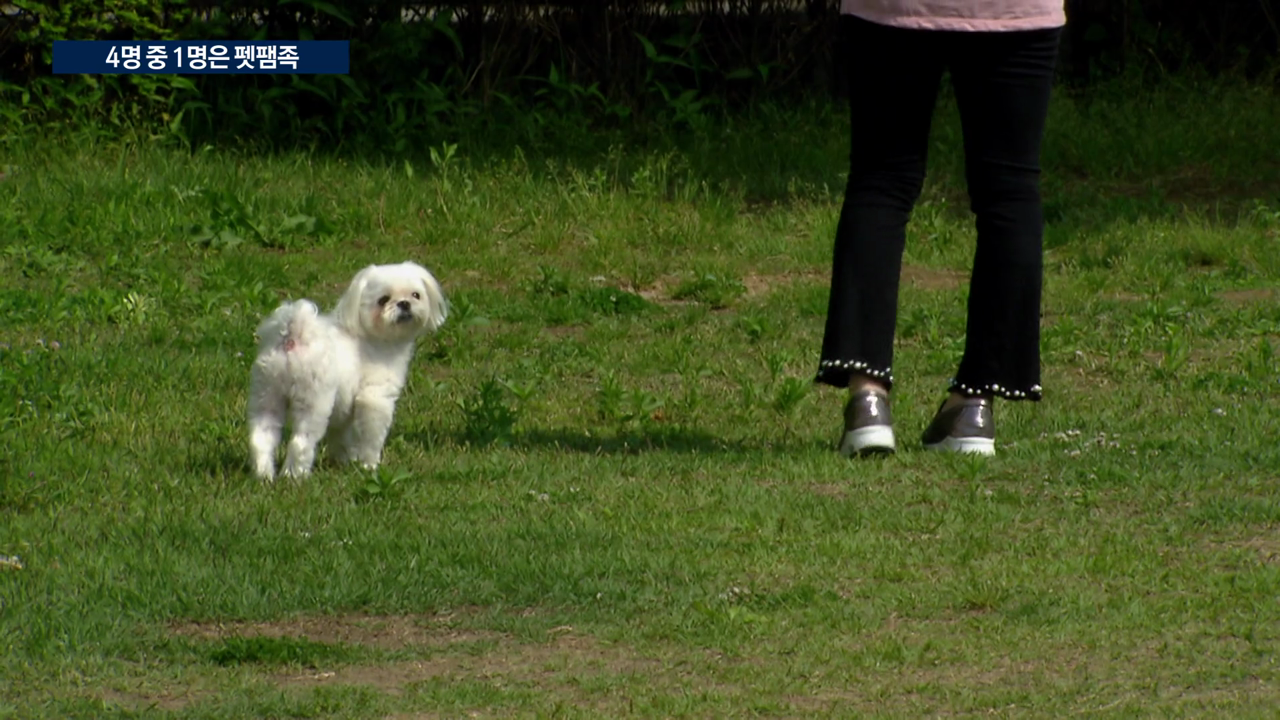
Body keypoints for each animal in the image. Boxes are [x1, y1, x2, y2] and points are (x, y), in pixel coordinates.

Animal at [248, 260, 450, 479]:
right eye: (383, 300)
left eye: (416, 294)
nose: (404, 303)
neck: (372, 335)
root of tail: (295, 337)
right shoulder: (375, 398)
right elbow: (371, 437)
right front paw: (369, 465)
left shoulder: (343, 409)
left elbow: (341, 437)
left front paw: (346, 461)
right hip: (313, 402)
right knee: (301, 442)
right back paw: (295, 475)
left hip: (267, 395)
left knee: (262, 437)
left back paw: (264, 475)